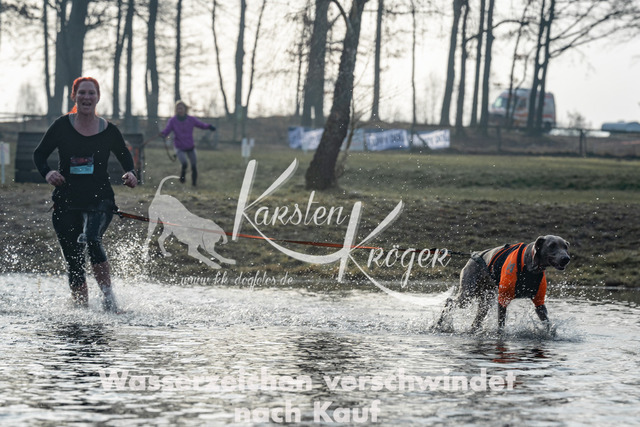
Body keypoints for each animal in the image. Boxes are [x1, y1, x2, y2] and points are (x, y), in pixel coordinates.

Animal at [436, 235, 570, 332]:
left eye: (565, 247)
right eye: (552, 245)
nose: (566, 258)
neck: (529, 267)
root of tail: (474, 255)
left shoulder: (539, 302)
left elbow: (547, 322)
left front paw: (552, 334)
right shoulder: (503, 298)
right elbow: (501, 325)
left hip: (486, 297)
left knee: (478, 315)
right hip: (468, 292)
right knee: (450, 301)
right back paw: (438, 325)